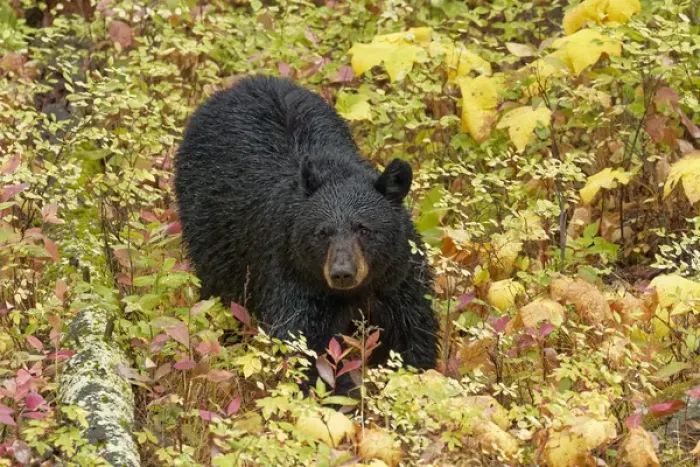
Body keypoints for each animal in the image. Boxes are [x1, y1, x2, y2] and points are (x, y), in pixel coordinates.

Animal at [174, 75, 439, 392]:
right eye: (322, 232)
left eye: (364, 228)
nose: (342, 272)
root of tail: (243, 83)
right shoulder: (292, 270)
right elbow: (305, 342)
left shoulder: (397, 274)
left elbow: (412, 329)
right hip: (213, 233)